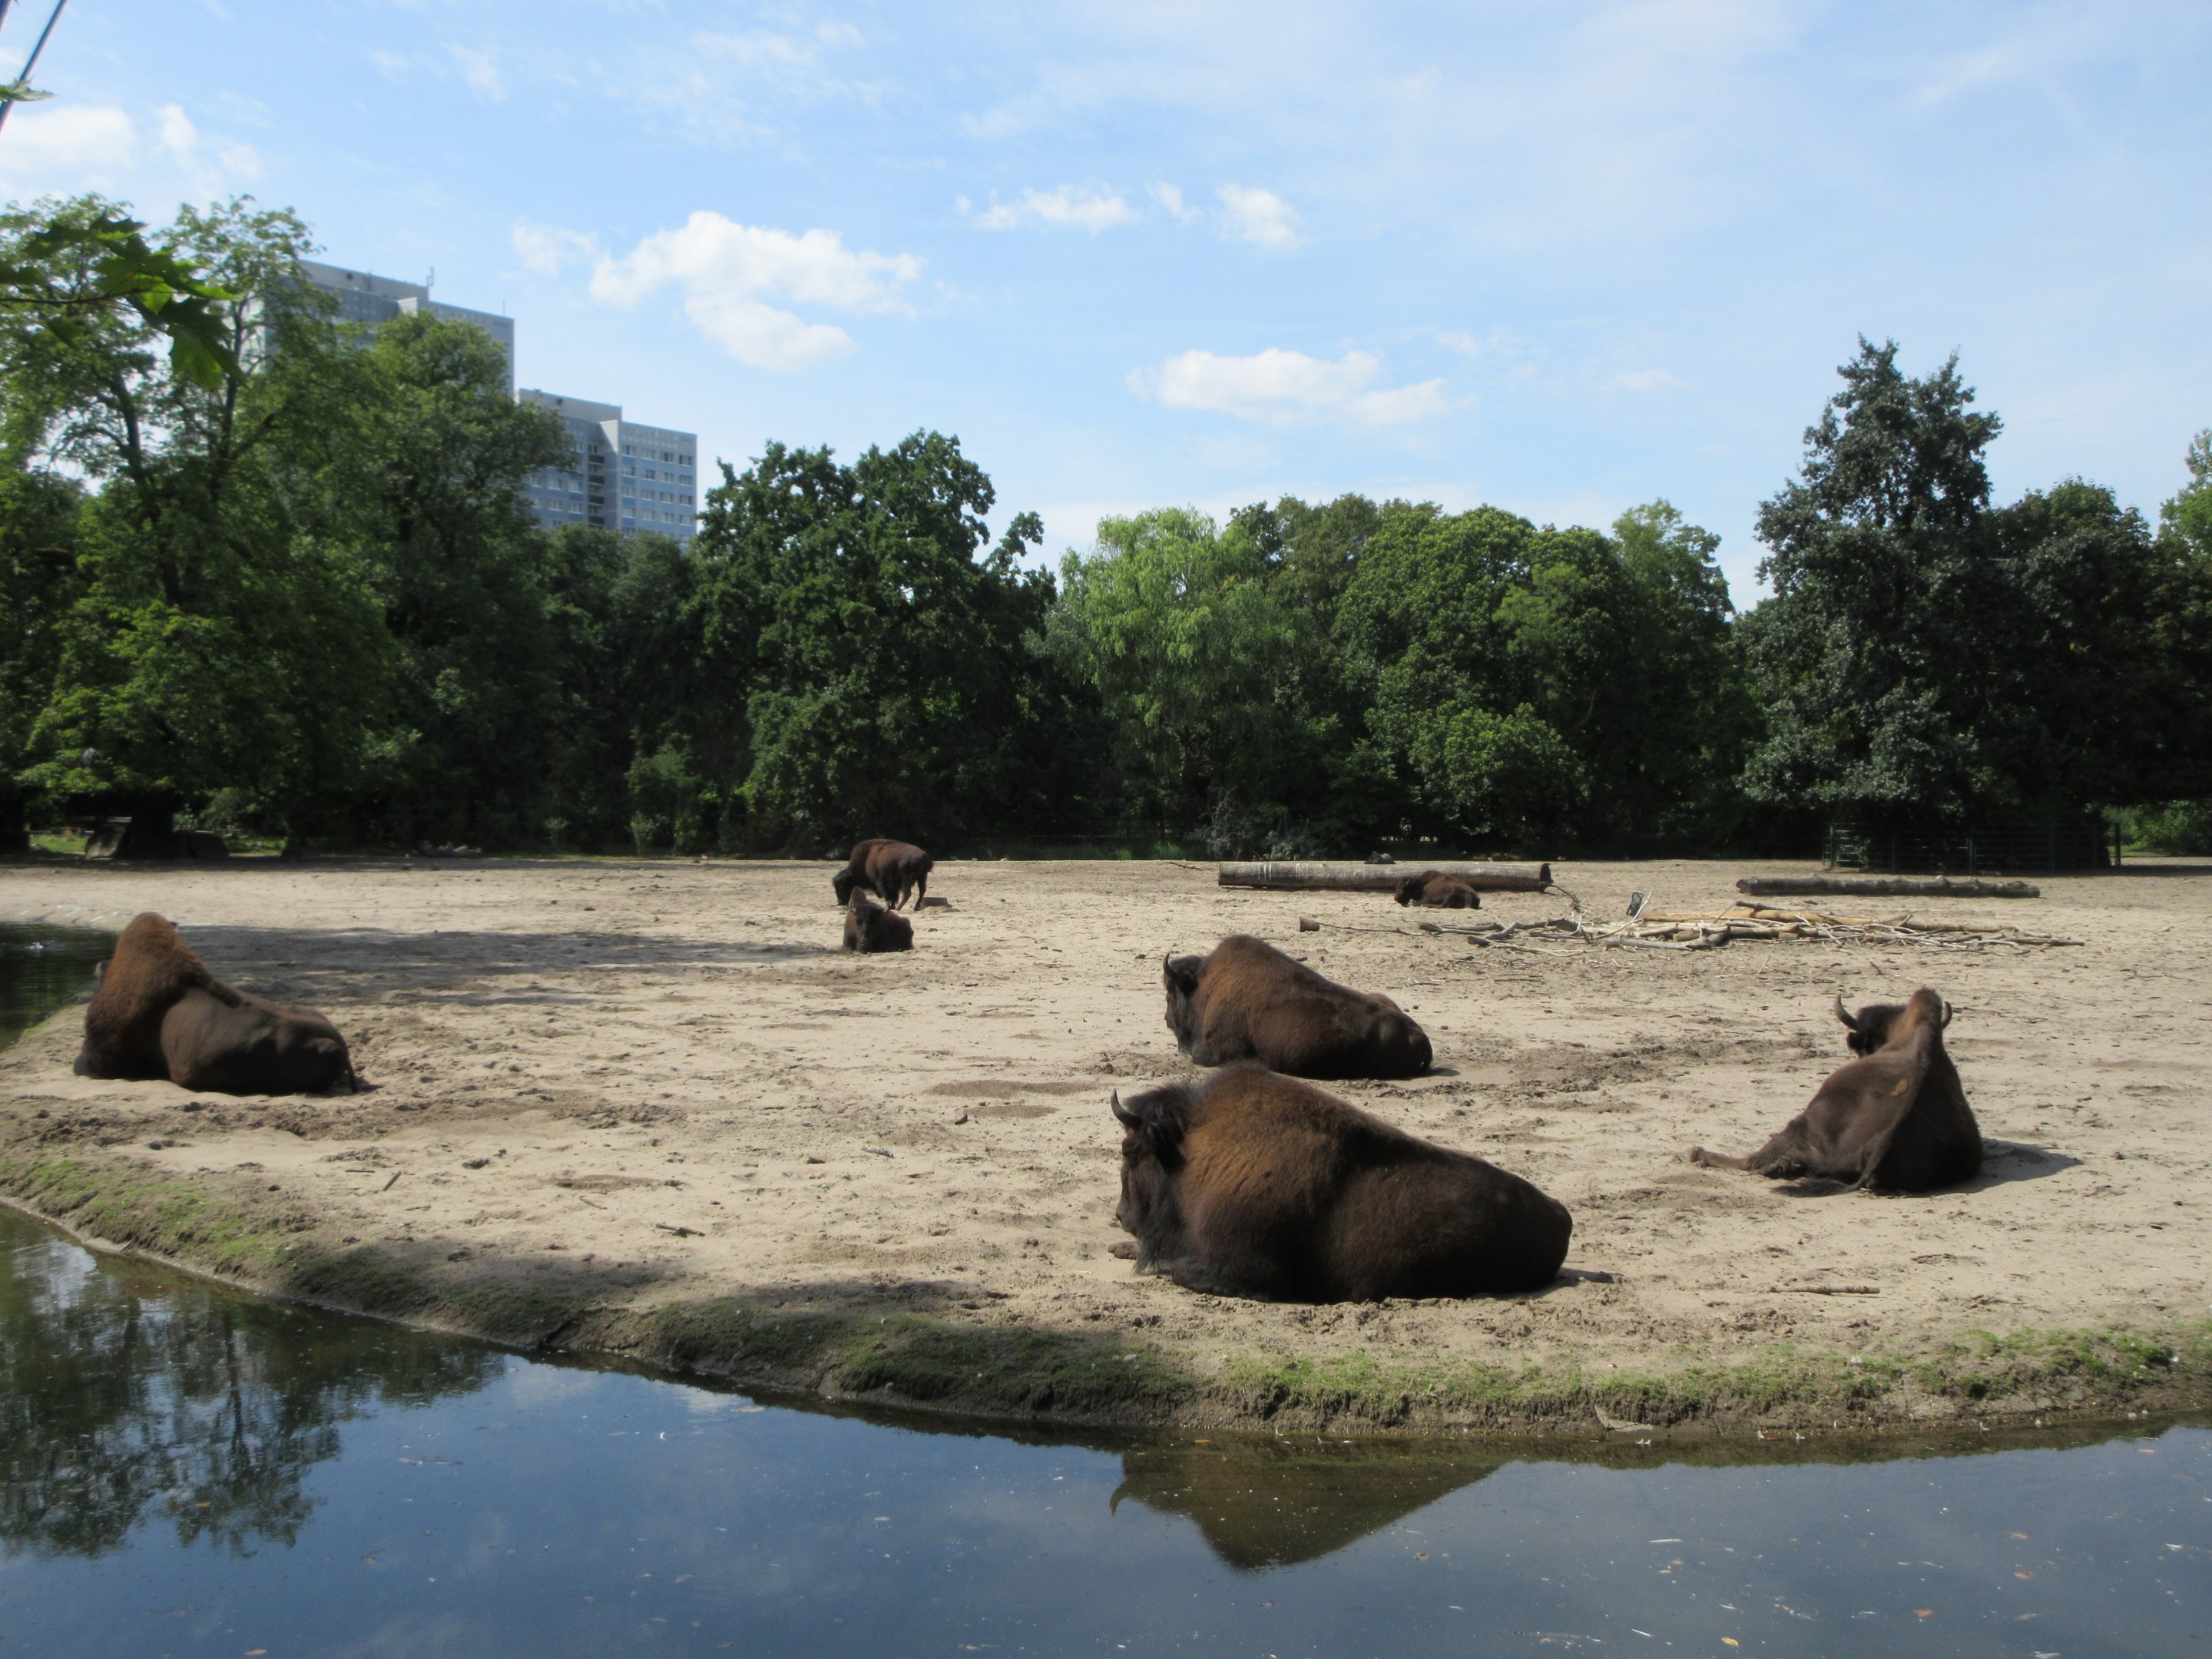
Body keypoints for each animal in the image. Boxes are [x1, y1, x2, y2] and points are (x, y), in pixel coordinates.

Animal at [831, 838, 933, 910]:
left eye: (842, 886)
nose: (840, 902)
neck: (866, 860)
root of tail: (923, 854)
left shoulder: (880, 882)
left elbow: (887, 895)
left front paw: (890, 907)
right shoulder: (891, 886)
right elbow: (892, 896)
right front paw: (892, 907)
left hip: (906, 878)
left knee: (907, 893)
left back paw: (899, 908)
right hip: (922, 876)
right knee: (922, 891)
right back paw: (916, 907)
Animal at [1111, 1064, 1572, 1301]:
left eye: (1129, 1153)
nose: (1121, 1216)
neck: (1191, 1149)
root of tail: (1561, 1214)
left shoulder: (1246, 1270)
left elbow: (1177, 1268)